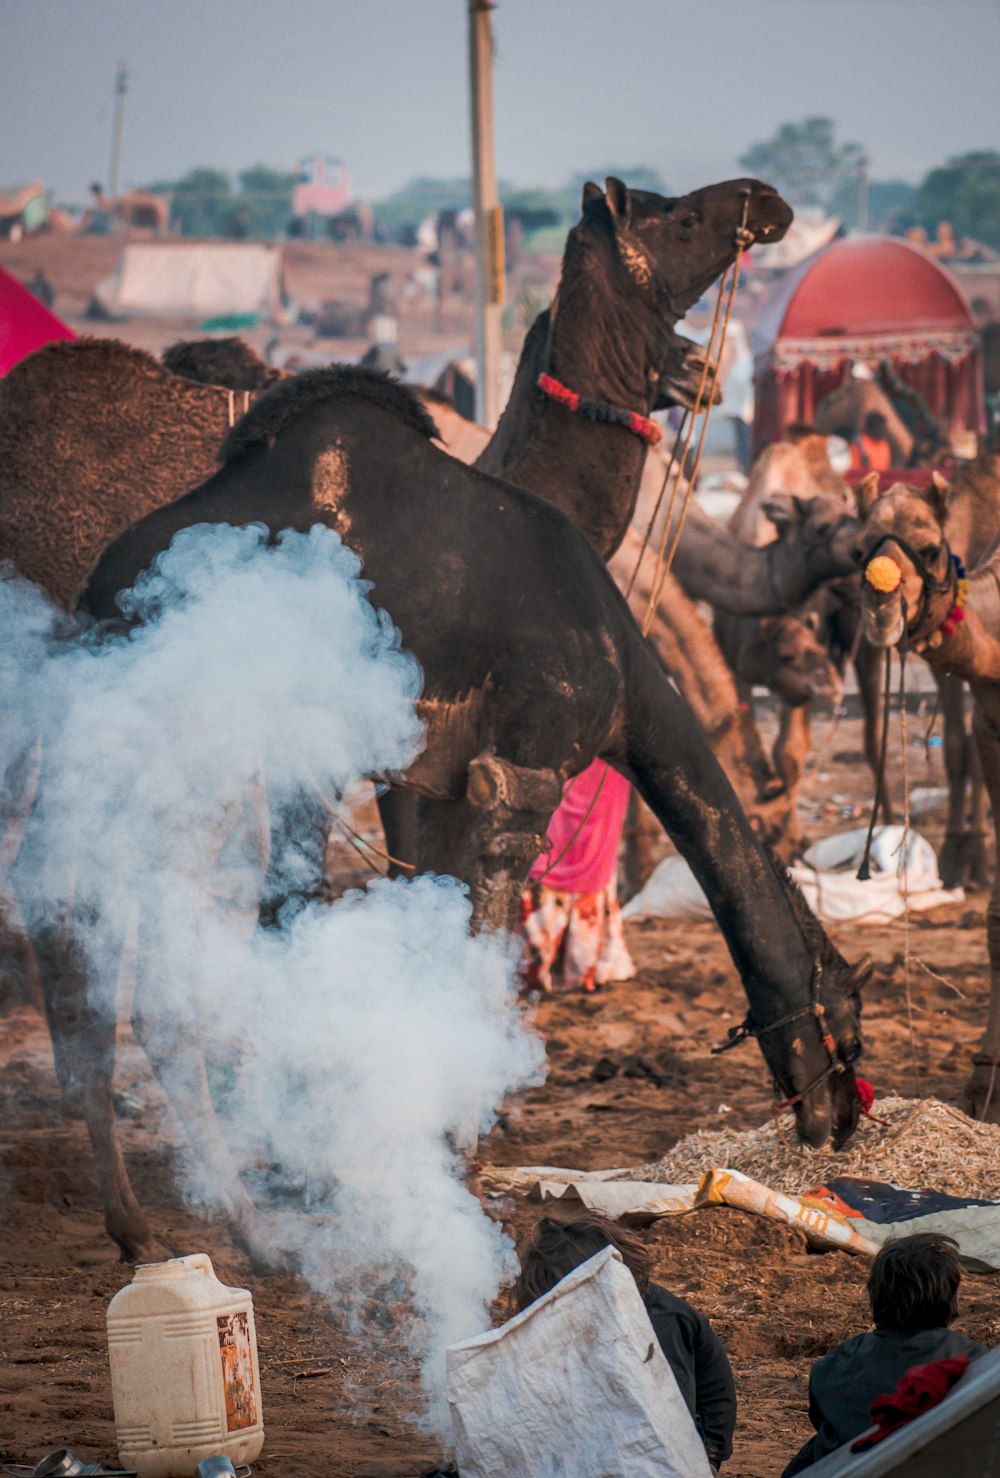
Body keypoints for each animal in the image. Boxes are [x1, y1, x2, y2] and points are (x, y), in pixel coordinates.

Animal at [72, 366, 868, 1259]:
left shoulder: (446, 787)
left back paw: (179, 1214)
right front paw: (457, 1155)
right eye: (848, 1023)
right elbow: (483, 943)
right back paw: (201, 1219)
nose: (838, 1121)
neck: (623, 673)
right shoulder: (527, 767)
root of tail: (97, 593)